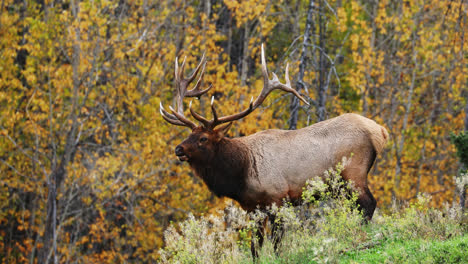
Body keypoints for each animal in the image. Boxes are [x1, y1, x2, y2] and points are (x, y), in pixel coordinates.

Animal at [159, 44, 390, 256]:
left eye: (203, 138)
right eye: (188, 134)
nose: (178, 149)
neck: (242, 172)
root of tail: (380, 131)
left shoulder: (278, 198)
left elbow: (277, 242)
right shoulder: (252, 207)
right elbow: (256, 245)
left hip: (354, 172)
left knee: (369, 203)